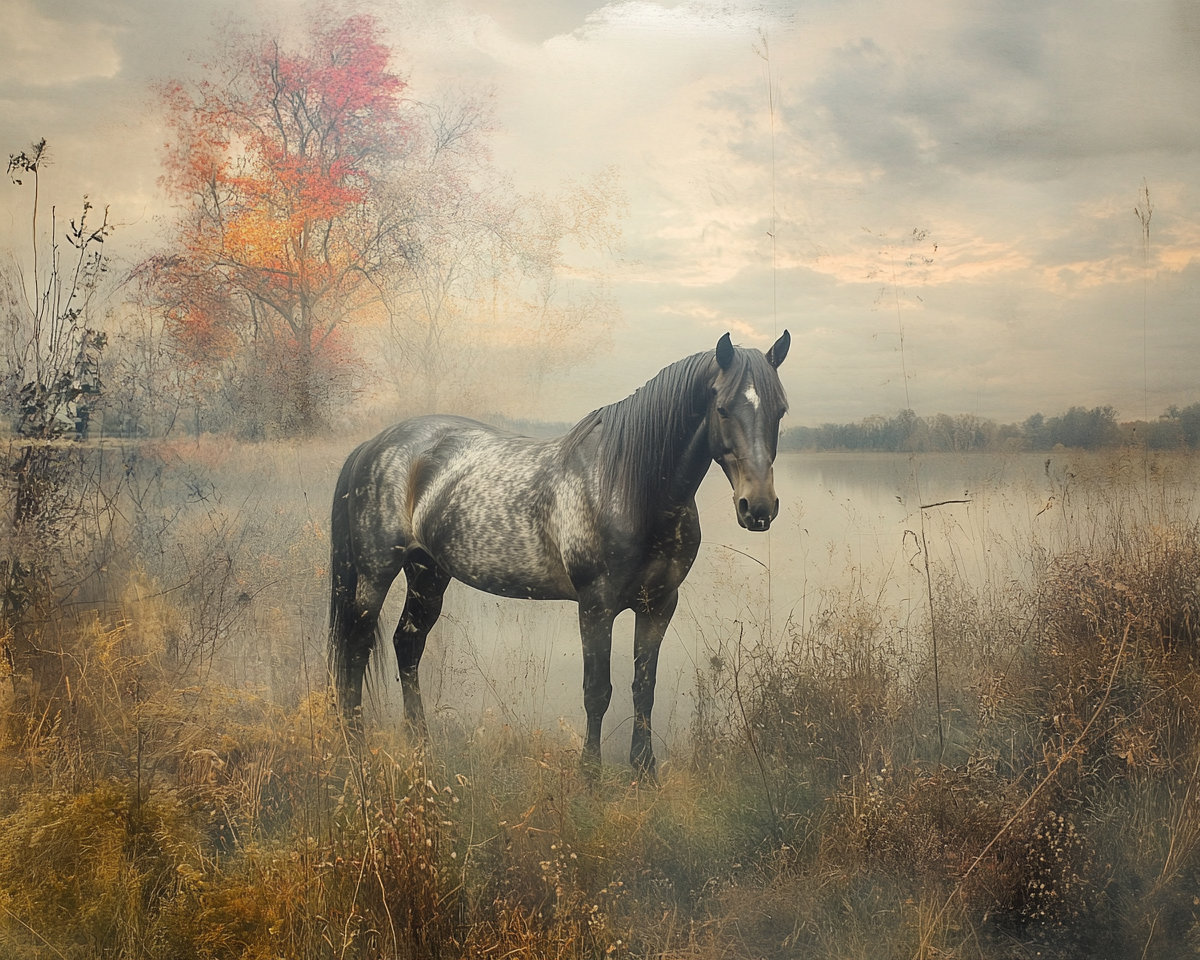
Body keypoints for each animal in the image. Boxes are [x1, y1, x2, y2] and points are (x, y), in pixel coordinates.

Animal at [331, 326, 787, 777]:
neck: (627, 486)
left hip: (427, 573)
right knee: (357, 645)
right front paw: (589, 774)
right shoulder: (596, 605)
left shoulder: (658, 604)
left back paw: (419, 744)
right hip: (376, 573)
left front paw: (644, 772)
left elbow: (643, 688)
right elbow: (597, 691)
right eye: (723, 408)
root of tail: (375, 444)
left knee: (407, 645)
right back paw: (353, 744)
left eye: (780, 410)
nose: (758, 508)